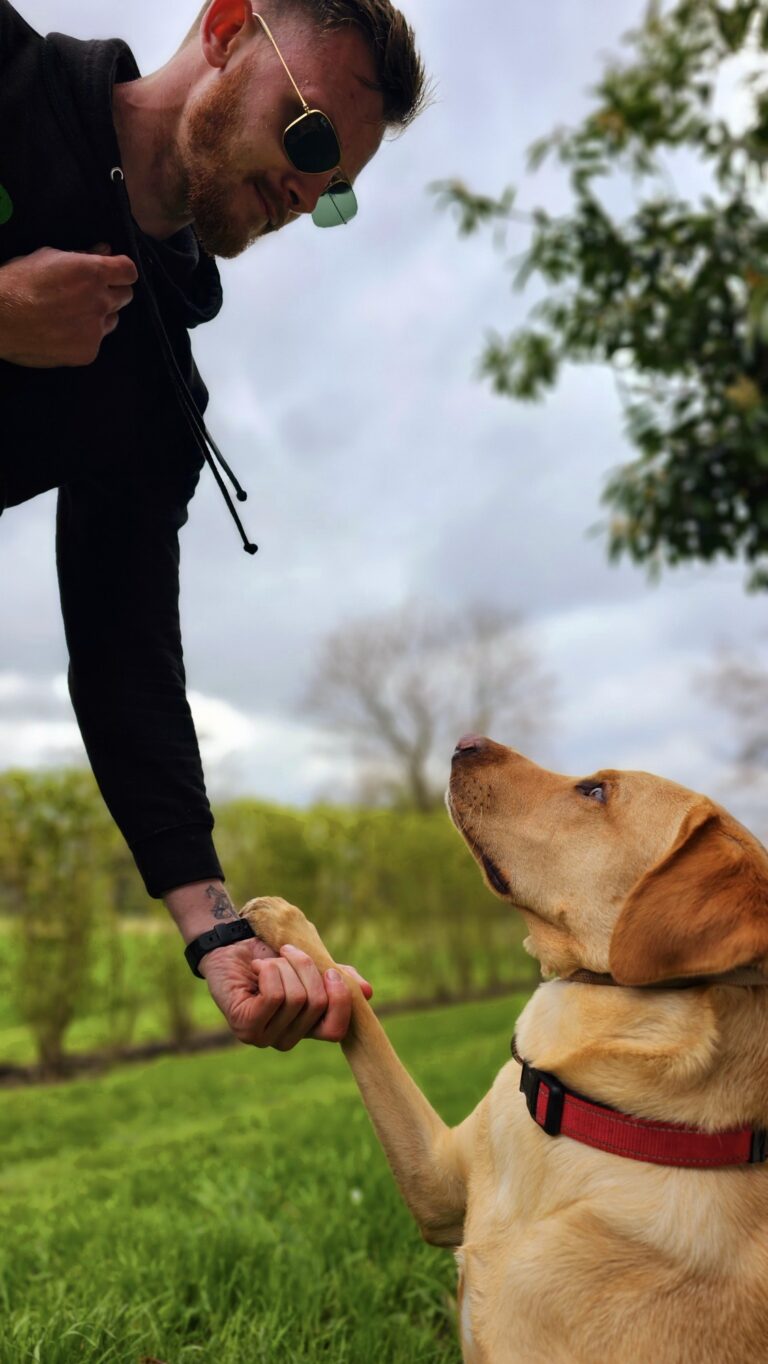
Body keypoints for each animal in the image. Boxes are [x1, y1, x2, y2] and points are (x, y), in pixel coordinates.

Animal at [242, 742, 768, 1358]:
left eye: (596, 792)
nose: (465, 741)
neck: (599, 1115)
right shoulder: (439, 1182)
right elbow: (358, 1008)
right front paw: (289, 923)